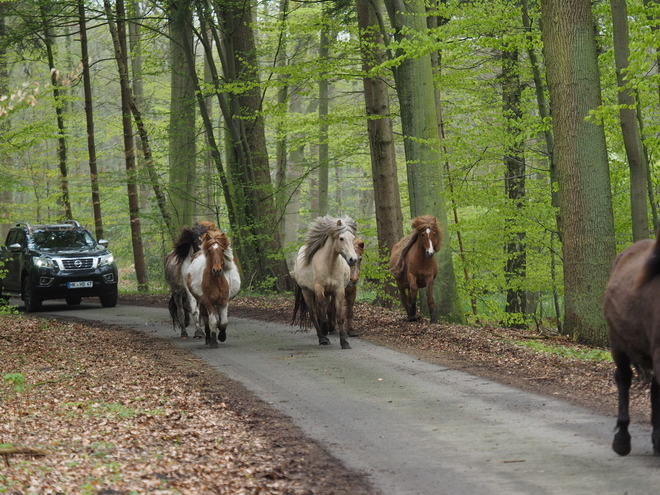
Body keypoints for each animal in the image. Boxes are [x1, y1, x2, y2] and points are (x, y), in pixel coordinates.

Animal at [292, 216, 358, 348]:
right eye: (341, 238)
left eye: (353, 238)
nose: (353, 259)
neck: (330, 266)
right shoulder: (319, 289)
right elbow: (321, 314)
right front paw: (325, 329)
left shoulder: (339, 291)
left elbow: (339, 316)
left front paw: (344, 342)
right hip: (307, 292)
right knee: (313, 314)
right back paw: (322, 337)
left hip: (327, 294)